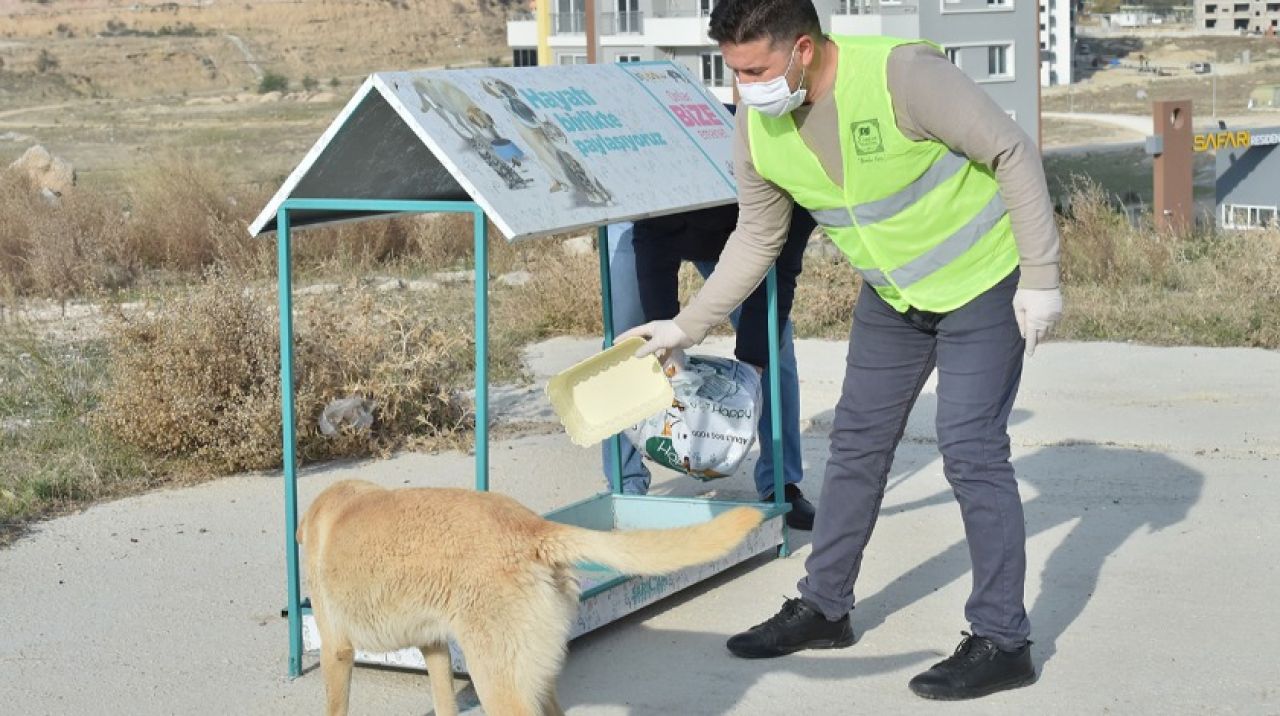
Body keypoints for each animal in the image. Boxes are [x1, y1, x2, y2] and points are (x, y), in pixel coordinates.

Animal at [294, 481, 762, 716]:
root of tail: (532, 528)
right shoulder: (435, 647)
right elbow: (443, 702)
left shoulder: (337, 651)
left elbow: (335, 705)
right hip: (532, 678)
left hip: (500, 686)